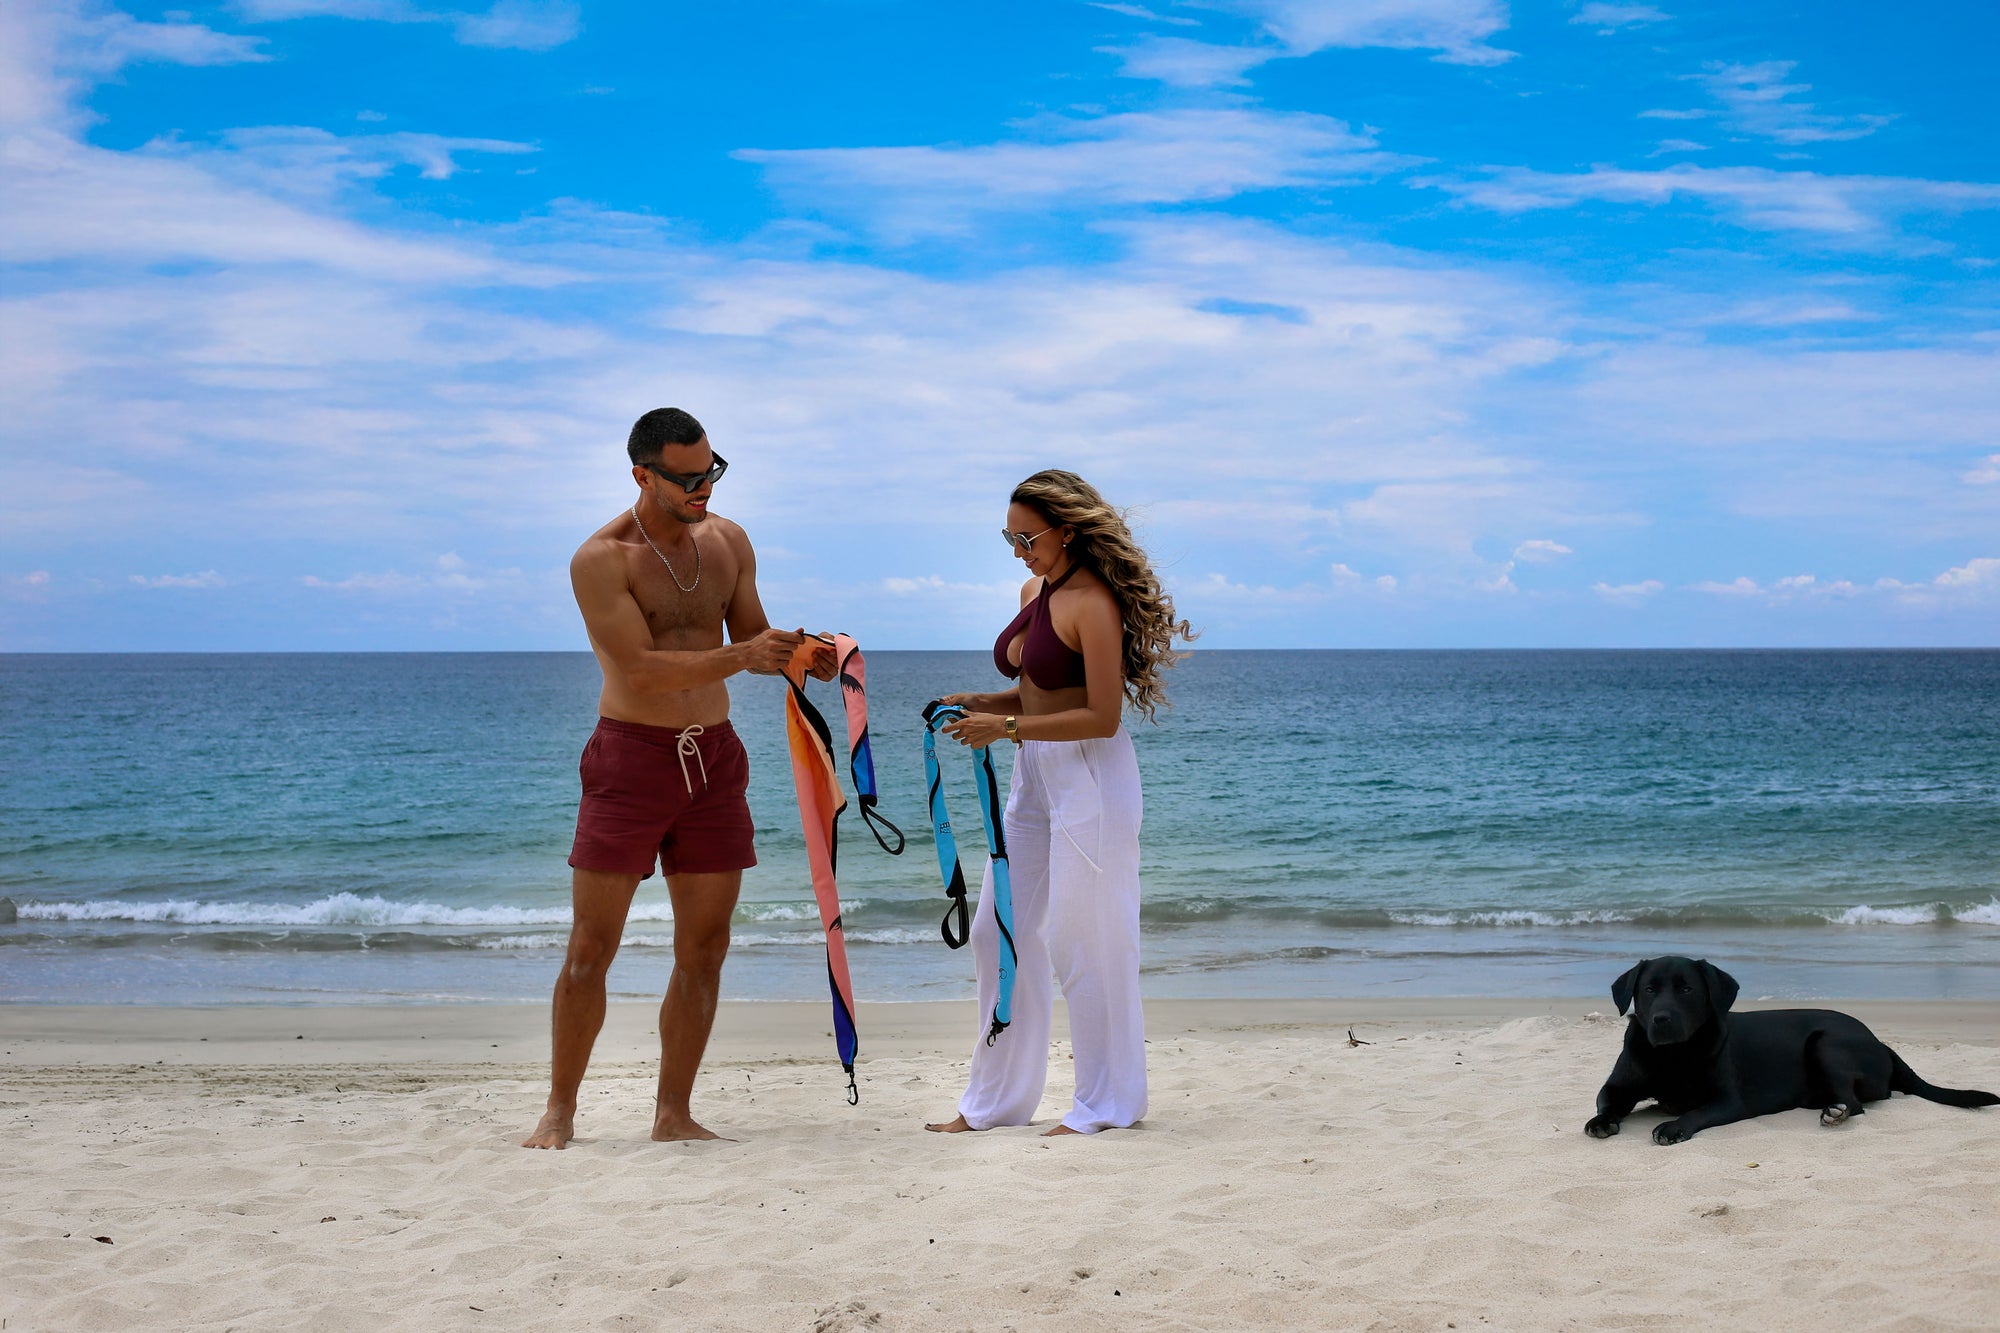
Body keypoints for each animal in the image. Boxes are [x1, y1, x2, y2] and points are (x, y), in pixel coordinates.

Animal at [1585, 956, 1997, 1144]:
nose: (1662, 1020)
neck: (1671, 1056)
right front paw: (1602, 1121)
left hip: (1826, 1044)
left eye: (1686, 989)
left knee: (1856, 1104)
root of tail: (1880, 1042)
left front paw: (1672, 1127)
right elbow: (1607, 1101)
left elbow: (1695, 1112)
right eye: (1649, 990)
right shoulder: (1617, 1087)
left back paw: (1834, 1112)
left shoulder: (1728, 1101)